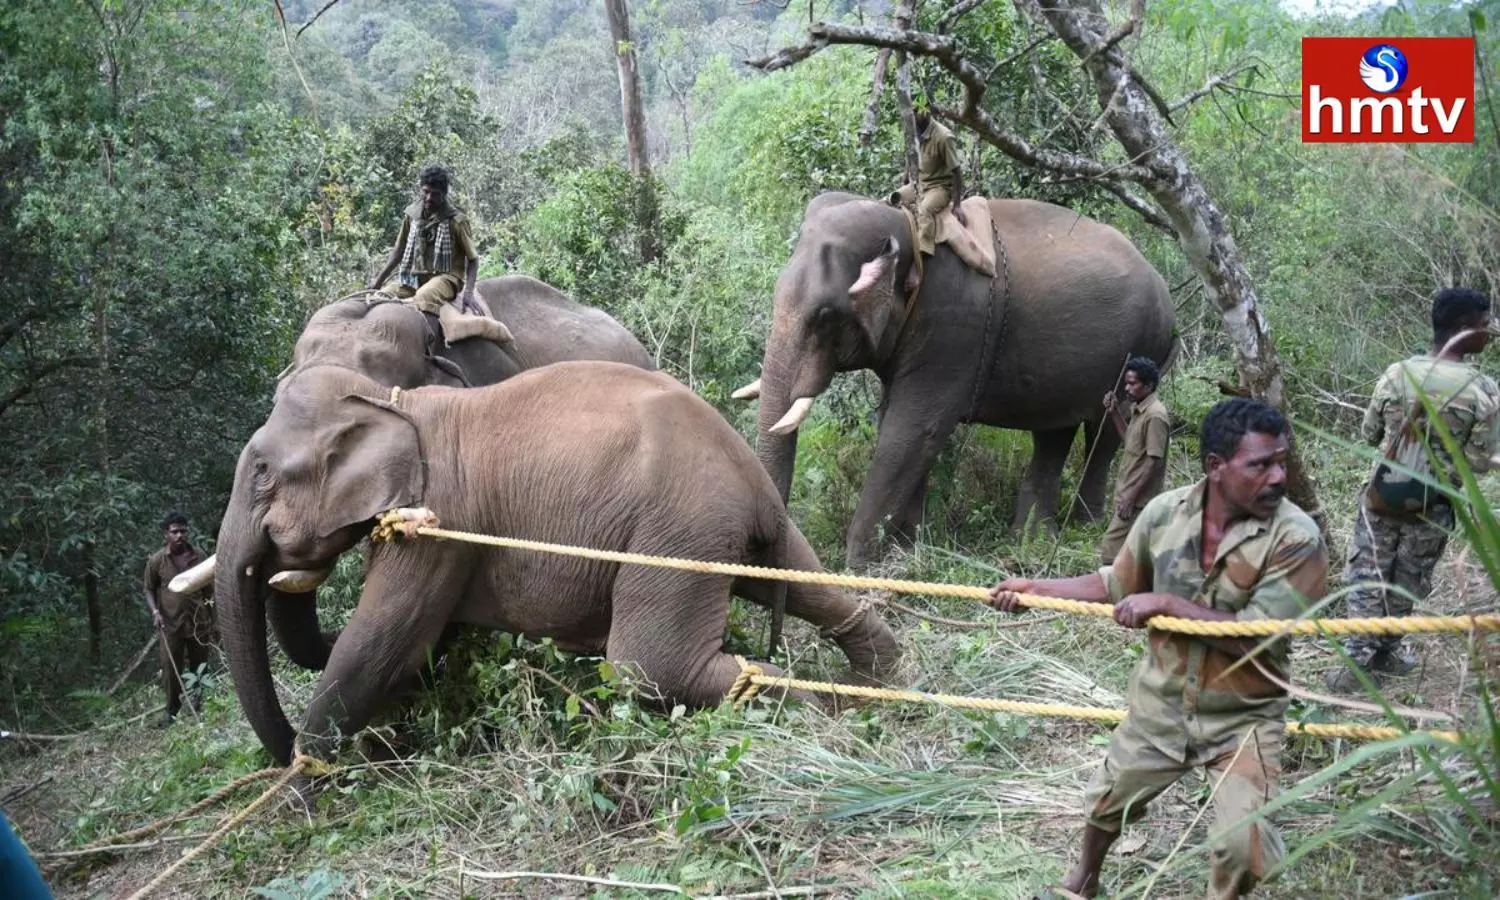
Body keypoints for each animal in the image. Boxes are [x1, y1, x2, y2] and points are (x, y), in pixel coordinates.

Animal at [215, 361, 904, 765]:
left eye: (262, 473)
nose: (284, 757)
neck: (394, 399)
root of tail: (751, 477)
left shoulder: (439, 526)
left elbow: (382, 645)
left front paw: (302, 786)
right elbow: (425, 649)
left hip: (675, 531)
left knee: (648, 665)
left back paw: (819, 712)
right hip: (728, 531)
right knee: (809, 582)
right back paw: (874, 687)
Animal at [739, 192, 1175, 570]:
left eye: (827, 314)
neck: (908, 227)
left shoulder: (952, 332)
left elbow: (912, 432)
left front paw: (861, 567)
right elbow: (899, 429)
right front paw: (908, 549)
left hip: (1142, 346)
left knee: (1108, 434)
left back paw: (1085, 528)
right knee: (1053, 434)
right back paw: (1031, 539)